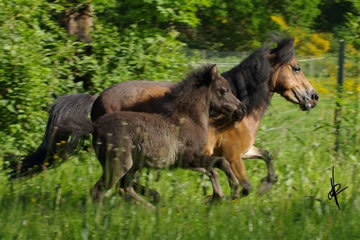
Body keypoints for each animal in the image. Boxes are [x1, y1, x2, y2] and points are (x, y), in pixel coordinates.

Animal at [57, 65, 246, 206]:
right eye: (224, 90)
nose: (242, 109)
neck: (188, 118)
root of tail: (95, 125)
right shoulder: (189, 156)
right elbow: (220, 163)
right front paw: (235, 190)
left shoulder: (184, 162)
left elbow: (211, 170)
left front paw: (218, 197)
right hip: (120, 164)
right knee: (100, 191)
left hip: (132, 164)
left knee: (124, 188)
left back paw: (152, 208)